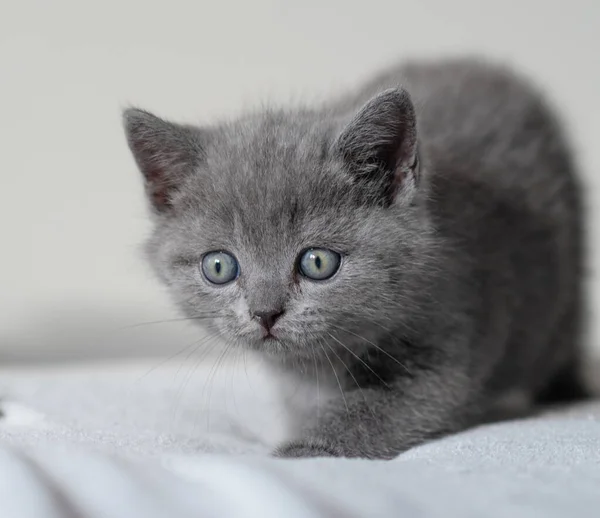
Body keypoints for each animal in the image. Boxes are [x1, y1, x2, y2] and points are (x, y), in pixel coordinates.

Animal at [122, 59, 584, 462]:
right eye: (219, 267)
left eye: (318, 262)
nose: (265, 312)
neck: (312, 368)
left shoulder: (448, 342)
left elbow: (376, 410)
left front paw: (301, 452)